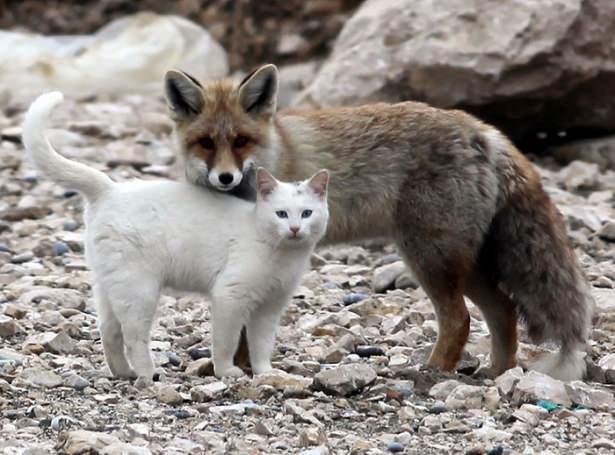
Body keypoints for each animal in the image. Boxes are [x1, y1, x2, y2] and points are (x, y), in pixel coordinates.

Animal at [21, 92, 330, 384]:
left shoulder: (270, 308)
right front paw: (226, 371)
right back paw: (147, 376)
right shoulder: (229, 297)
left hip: (109, 287)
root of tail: (110, 189)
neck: (281, 253)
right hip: (139, 291)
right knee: (133, 337)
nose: (294, 229)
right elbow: (226, 342)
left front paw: (266, 373)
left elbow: (262, 346)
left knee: (108, 332)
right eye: (281, 214)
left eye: (306, 213)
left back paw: (124, 373)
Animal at [161, 62, 596, 380]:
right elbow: (241, 327)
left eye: (240, 141)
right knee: (503, 311)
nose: (226, 178)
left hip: (428, 257)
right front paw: (238, 367)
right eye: (206, 144)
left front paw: (242, 368)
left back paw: (432, 372)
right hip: (463, 263)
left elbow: (244, 327)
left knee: (459, 319)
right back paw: (497, 373)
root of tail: (484, 130)